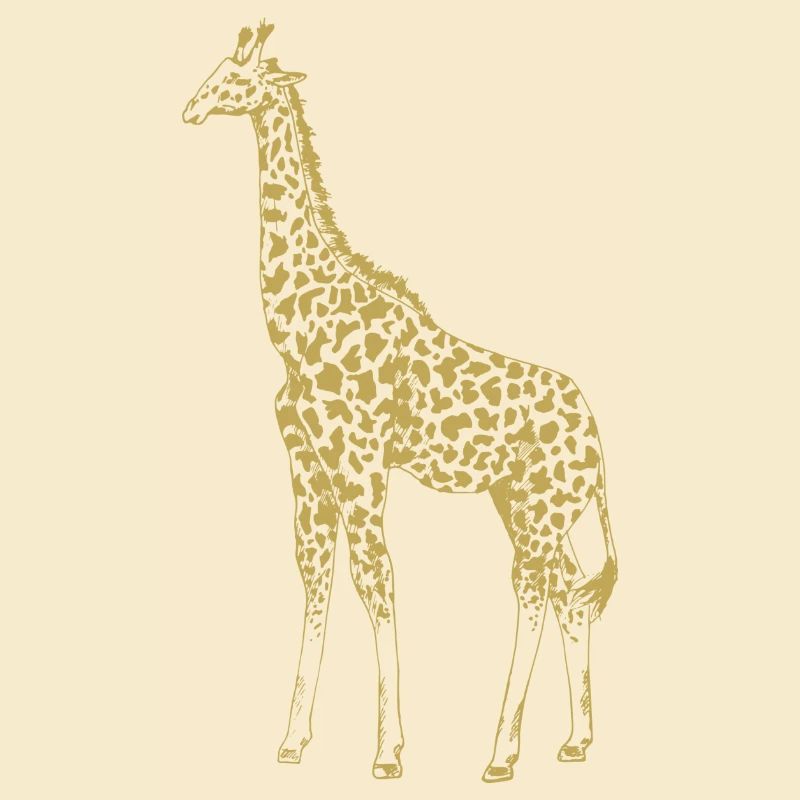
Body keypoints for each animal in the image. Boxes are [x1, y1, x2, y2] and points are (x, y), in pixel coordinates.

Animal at [183, 22, 618, 783]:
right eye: (214, 70)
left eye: (236, 78)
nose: (190, 108)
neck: (296, 324)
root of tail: (597, 432)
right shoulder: (307, 466)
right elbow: (316, 581)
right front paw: (292, 741)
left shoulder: (359, 466)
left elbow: (376, 581)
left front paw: (387, 751)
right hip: (526, 503)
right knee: (570, 593)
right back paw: (573, 741)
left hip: (539, 511)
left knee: (534, 593)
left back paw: (500, 753)